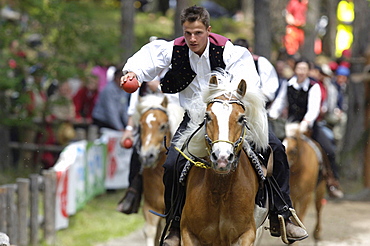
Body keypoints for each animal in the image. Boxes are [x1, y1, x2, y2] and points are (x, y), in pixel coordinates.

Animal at [176, 70, 268, 245]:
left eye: (241, 118)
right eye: (207, 116)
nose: (222, 158)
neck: (220, 193)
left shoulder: (247, 233)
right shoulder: (188, 233)